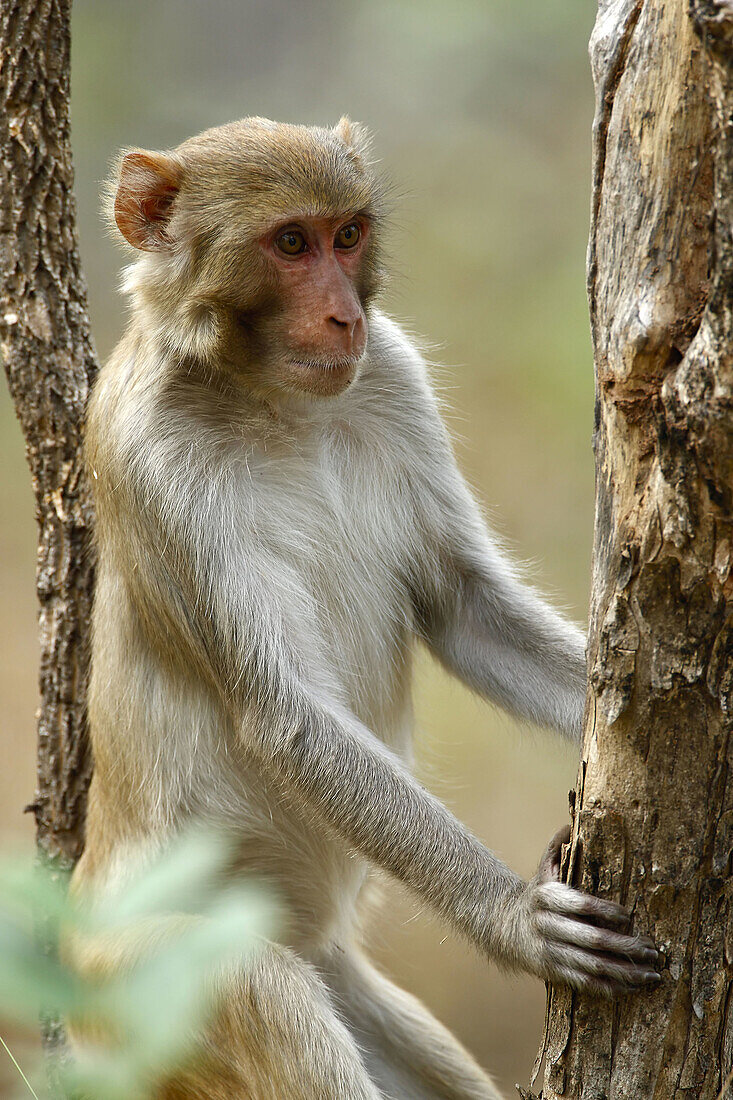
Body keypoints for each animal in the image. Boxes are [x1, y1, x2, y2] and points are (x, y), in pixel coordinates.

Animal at [71, 118, 660, 1100]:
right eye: (290, 243)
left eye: (346, 235)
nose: (345, 314)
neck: (268, 398)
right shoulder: (147, 456)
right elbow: (291, 716)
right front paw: (512, 919)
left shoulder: (393, 373)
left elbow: (463, 609)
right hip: (157, 979)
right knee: (268, 997)